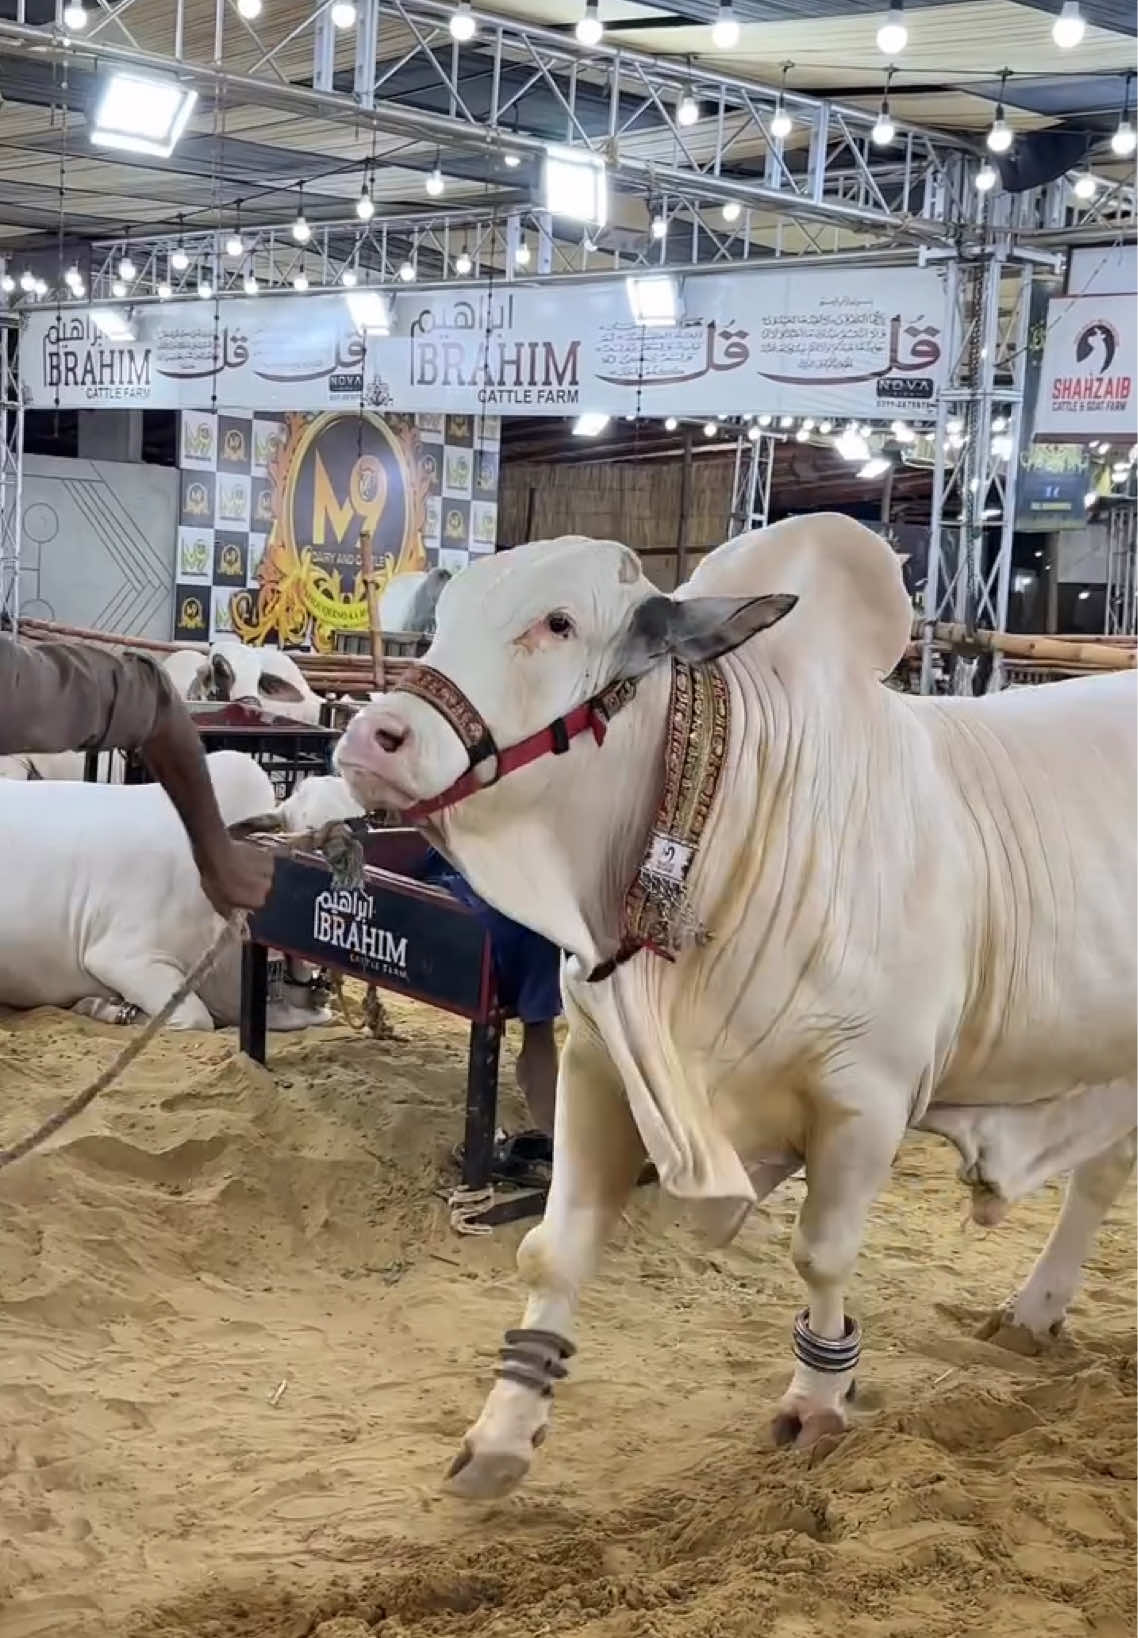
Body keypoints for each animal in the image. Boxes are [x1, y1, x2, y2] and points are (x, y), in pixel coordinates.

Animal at [334, 516, 1137, 1500]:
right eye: (444, 615)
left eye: (558, 623)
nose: (372, 736)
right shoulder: (600, 1062)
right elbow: (553, 1250)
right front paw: (499, 1439)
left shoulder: (864, 1101)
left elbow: (821, 1256)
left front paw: (819, 1402)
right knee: (1104, 1170)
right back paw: (1032, 1313)